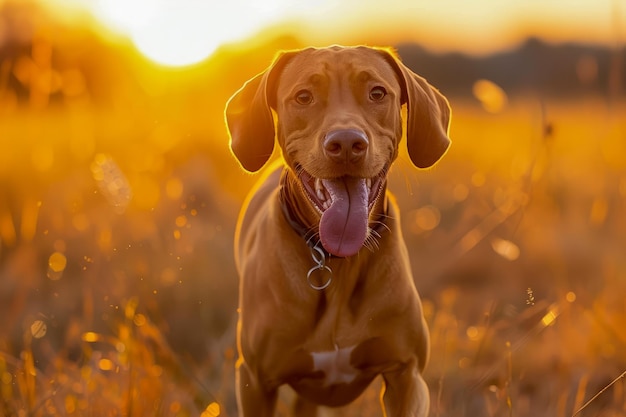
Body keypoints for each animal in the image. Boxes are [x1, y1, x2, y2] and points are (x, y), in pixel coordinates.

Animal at [224, 44, 448, 414]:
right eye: (303, 96)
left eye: (377, 93)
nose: (345, 143)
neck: (339, 262)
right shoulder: (254, 381)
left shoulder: (407, 376)